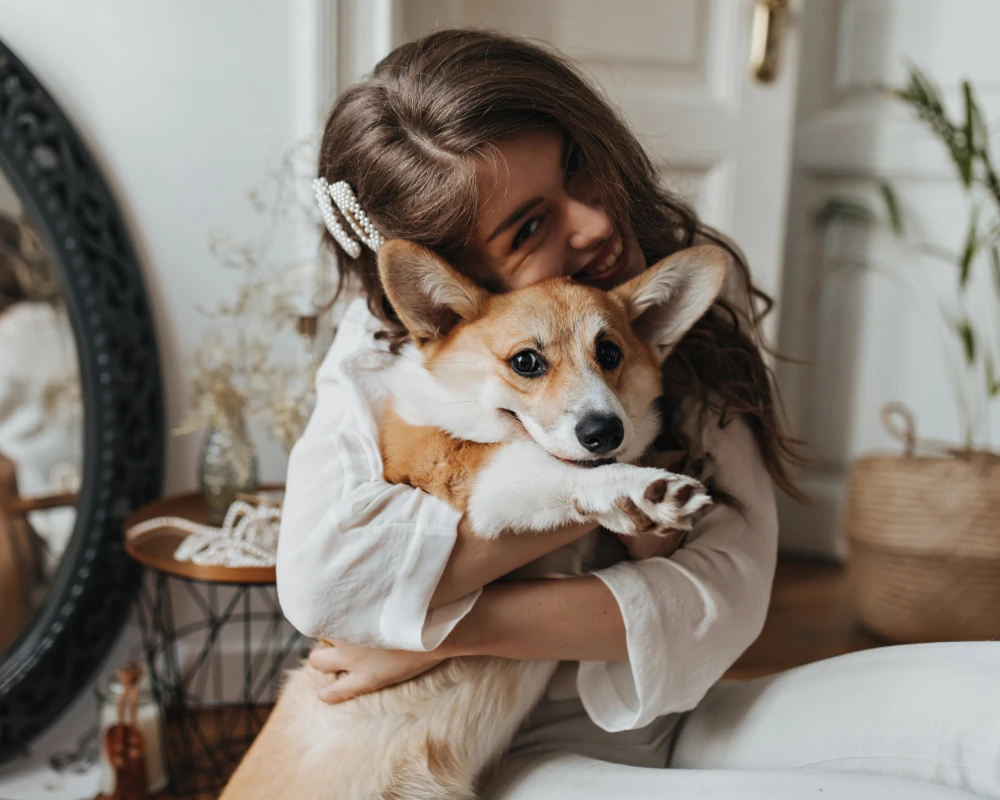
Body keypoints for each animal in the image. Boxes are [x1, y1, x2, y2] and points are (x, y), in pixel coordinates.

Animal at [223, 241, 728, 796]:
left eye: (611, 353)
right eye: (526, 361)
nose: (605, 432)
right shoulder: (457, 473)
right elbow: (546, 468)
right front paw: (637, 490)